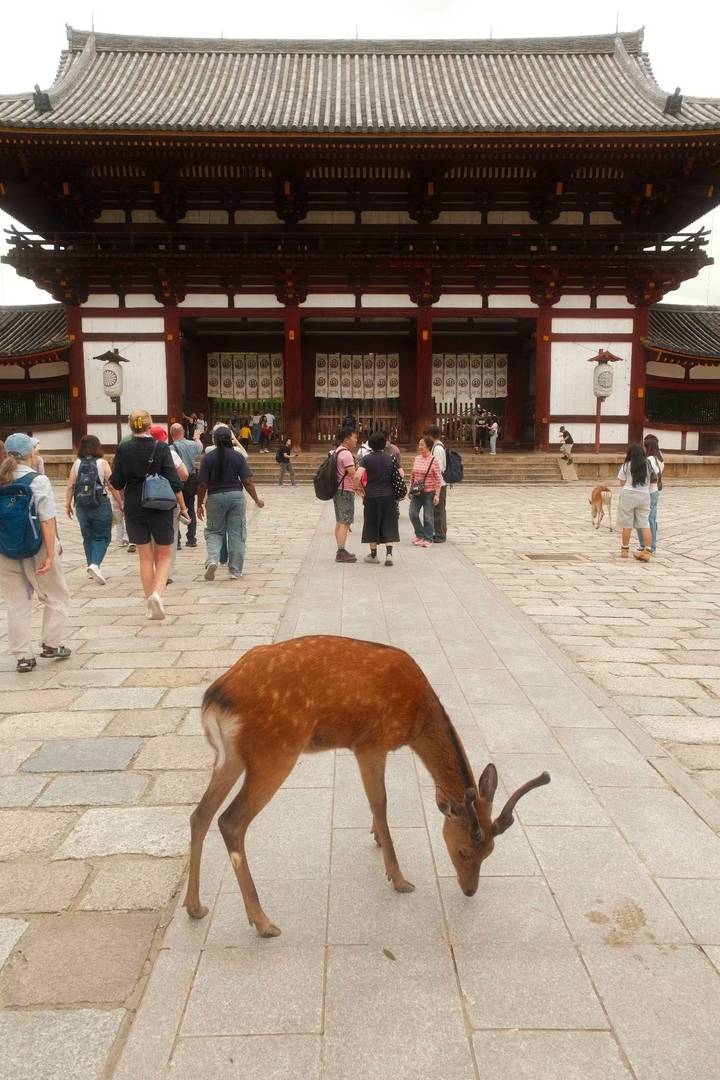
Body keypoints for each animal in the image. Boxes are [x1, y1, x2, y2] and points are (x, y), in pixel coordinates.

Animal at [183, 635, 550, 937]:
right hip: (275, 754)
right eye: (463, 851)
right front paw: (398, 878)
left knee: (200, 815)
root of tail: (214, 699)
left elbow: (376, 803)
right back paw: (262, 922)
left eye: (490, 852)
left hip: (229, 758)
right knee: (230, 821)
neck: (417, 721)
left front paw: (375, 838)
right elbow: (380, 802)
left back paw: (195, 906)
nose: (470, 890)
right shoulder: (371, 743)